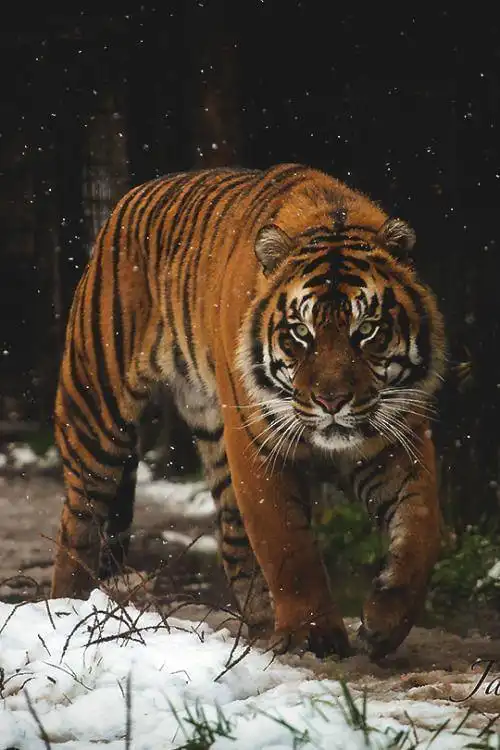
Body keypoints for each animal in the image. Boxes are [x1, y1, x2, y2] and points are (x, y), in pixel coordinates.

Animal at [51, 163, 446, 659]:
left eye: (367, 330)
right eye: (301, 333)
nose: (331, 401)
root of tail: (126, 198)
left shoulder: (396, 440)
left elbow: (420, 531)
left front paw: (384, 624)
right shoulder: (257, 443)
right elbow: (287, 545)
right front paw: (312, 634)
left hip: (211, 437)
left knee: (233, 538)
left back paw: (259, 623)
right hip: (96, 412)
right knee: (78, 521)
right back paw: (66, 609)